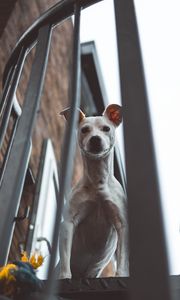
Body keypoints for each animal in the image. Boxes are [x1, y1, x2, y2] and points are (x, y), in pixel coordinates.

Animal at [58, 104, 128, 278]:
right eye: (84, 130)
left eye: (106, 128)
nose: (95, 139)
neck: (98, 181)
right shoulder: (68, 223)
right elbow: (65, 259)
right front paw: (65, 277)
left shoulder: (122, 224)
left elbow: (123, 257)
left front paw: (121, 275)